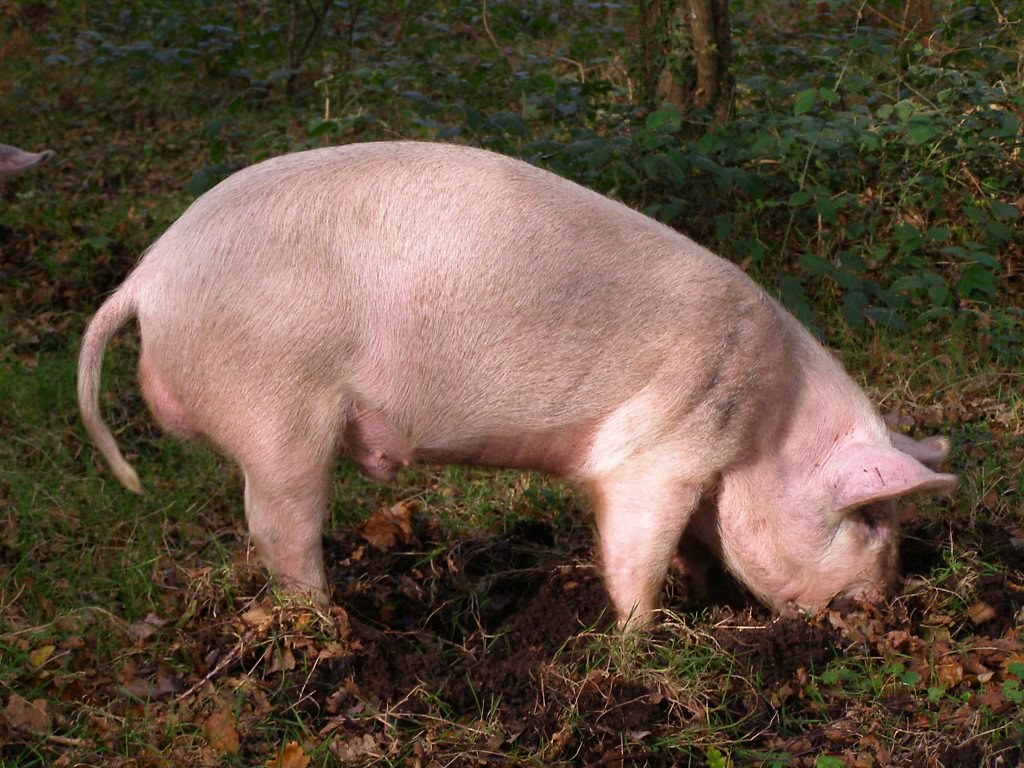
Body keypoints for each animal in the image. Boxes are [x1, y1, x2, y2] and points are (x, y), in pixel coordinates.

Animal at [77, 141, 957, 626]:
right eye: (871, 518)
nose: (883, 604)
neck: (767, 424)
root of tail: (148, 277)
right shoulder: (659, 452)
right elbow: (634, 556)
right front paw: (638, 642)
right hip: (276, 412)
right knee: (280, 533)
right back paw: (333, 630)